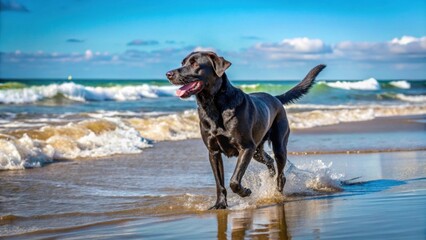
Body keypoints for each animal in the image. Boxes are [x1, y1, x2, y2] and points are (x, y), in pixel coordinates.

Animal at [166, 52, 326, 208]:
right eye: (183, 63)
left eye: (194, 64)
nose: (168, 74)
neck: (212, 105)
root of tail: (275, 98)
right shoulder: (214, 152)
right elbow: (219, 183)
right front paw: (220, 204)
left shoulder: (246, 147)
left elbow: (234, 180)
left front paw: (245, 192)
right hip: (257, 151)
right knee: (269, 160)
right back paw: (270, 177)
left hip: (278, 145)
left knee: (281, 173)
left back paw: (277, 193)